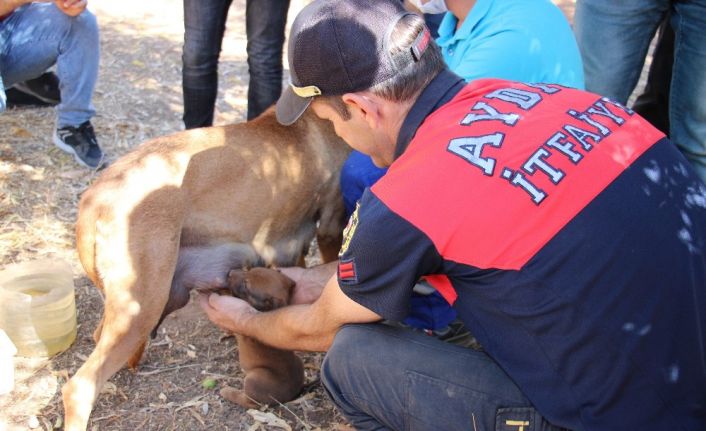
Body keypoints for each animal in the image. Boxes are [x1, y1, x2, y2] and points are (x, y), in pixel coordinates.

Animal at [201, 268, 306, 410]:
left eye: (246, 285)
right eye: (249, 270)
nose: (230, 272)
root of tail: (288, 397)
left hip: (253, 379)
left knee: (250, 402)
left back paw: (227, 391)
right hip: (298, 362)